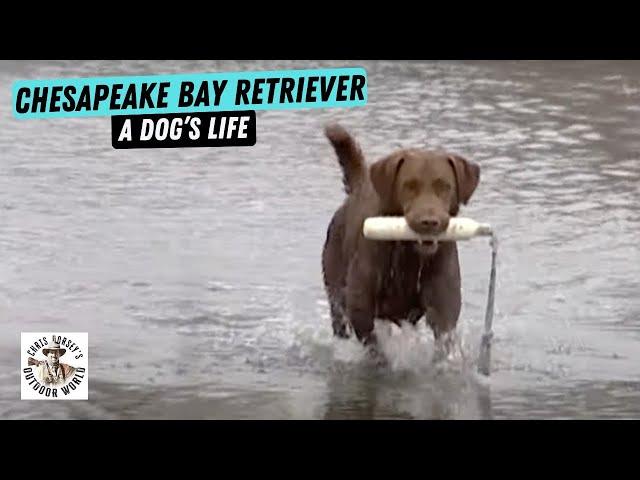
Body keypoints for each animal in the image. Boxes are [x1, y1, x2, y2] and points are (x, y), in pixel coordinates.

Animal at [320, 122, 480, 350]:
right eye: (409, 185)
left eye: (444, 186)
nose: (429, 222)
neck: (410, 256)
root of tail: (360, 185)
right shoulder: (360, 304)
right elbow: (372, 341)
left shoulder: (443, 306)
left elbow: (444, 337)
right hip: (335, 288)